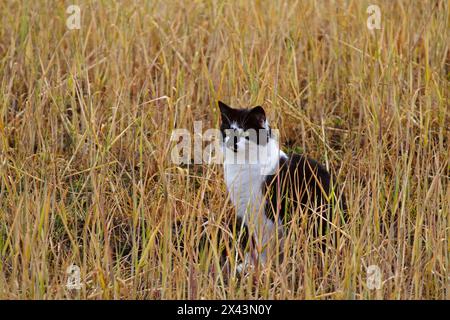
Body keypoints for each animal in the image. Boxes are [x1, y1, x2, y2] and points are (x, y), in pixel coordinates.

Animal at [218, 101, 344, 266]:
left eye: (246, 134)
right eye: (228, 131)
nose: (232, 144)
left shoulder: (266, 215)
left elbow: (265, 246)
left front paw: (262, 267)